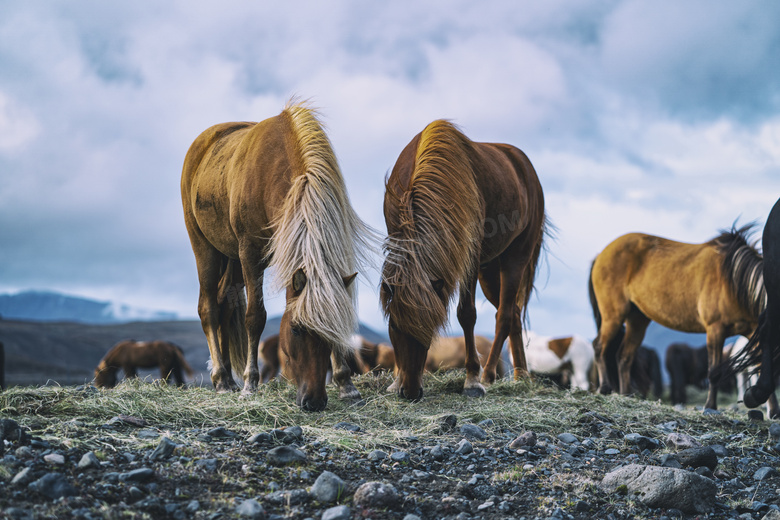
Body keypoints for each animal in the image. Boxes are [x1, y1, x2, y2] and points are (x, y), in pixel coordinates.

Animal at [181, 100, 370, 410]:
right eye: (295, 329)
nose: (314, 401)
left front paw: (346, 384)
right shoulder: (249, 253)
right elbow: (255, 317)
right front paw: (250, 384)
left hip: (231, 259)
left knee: (224, 304)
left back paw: (228, 378)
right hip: (206, 248)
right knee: (208, 307)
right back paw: (221, 379)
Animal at [380, 120, 544, 400]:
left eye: (431, 328)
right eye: (395, 328)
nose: (410, 391)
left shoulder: (470, 257)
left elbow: (466, 314)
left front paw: (472, 380)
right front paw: (395, 381)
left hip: (515, 258)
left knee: (504, 314)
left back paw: (489, 375)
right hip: (490, 271)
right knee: (513, 311)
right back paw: (521, 375)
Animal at [592, 226, 760, 410]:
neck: (735, 282)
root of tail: (601, 254)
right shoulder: (715, 328)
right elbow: (714, 371)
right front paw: (710, 406)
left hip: (637, 320)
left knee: (624, 356)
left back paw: (625, 394)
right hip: (613, 315)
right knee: (599, 346)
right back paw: (604, 388)